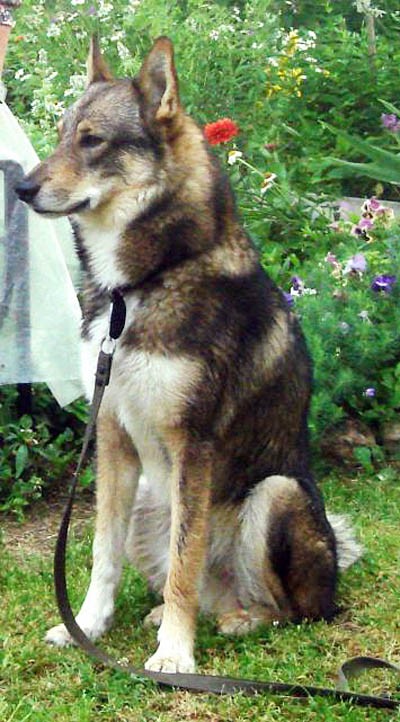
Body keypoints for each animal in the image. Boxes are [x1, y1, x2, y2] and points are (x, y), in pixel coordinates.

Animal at [16, 36, 361, 674]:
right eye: (61, 133)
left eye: (93, 140)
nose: (23, 190)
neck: (138, 288)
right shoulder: (113, 437)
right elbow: (103, 553)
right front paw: (88, 628)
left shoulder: (192, 443)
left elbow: (184, 557)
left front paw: (175, 655)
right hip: (150, 498)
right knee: (204, 586)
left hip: (277, 493)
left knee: (286, 610)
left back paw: (236, 620)